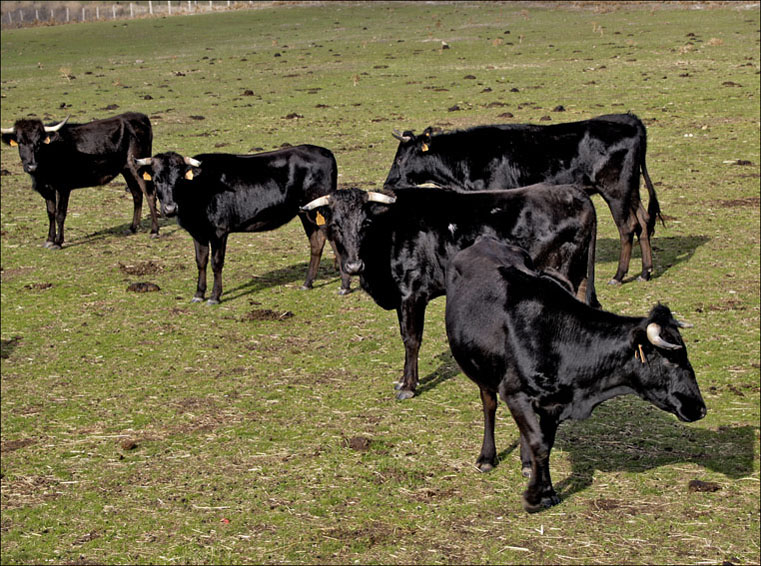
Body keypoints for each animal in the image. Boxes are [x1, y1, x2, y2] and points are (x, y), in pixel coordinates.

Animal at [1, 112, 159, 250]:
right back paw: (132, 228)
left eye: (39, 142)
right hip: (126, 170)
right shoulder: (47, 188)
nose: (32, 166)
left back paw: (154, 231)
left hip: (138, 166)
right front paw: (49, 240)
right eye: (20, 142)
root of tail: (140, 117)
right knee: (137, 195)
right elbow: (50, 212)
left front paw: (58, 242)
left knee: (149, 195)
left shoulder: (63, 187)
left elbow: (60, 214)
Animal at [135, 146, 348, 306]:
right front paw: (198, 294)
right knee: (317, 242)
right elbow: (201, 261)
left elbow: (216, 263)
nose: (170, 208)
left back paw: (345, 286)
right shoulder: (198, 232)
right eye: (156, 179)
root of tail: (324, 151)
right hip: (306, 213)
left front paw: (214, 297)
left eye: (179, 179)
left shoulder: (220, 231)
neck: (198, 189)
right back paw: (308, 283)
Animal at [300, 184, 596, 402]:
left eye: (365, 224)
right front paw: (404, 379)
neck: (389, 232)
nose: (353, 265)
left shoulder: (413, 294)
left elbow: (411, 339)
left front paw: (409, 386)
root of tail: (572, 191)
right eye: (335, 225)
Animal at [386, 113, 660, 286]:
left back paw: (619, 275)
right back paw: (645, 272)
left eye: (400, 158)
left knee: (628, 228)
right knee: (643, 222)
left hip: (615, 191)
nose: (388, 185)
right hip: (631, 190)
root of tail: (630, 120)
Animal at [446, 239, 708, 516]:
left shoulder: (553, 404)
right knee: (489, 405)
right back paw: (487, 457)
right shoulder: (515, 393)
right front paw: (534, 496)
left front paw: (546, 490)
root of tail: (484, 242)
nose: (700, 408)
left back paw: (526, 463)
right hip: (481, 370)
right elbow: (538, 443)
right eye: (670, 359)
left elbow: (543, 444)